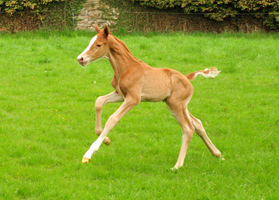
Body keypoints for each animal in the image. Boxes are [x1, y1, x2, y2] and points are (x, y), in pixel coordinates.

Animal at [77, 23, 222, 169]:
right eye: (90, 42)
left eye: (98, 45)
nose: (80, 58)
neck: (127, 68)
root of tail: (187, 77)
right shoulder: (121, 95)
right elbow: (99, 101)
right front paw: (106, 140)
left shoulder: (133, 99)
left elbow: (112, 119)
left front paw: (89, 154)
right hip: (179, 105)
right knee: (197, 123)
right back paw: (218, 154)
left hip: (176, 106)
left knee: (188, 129)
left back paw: (177, 166)